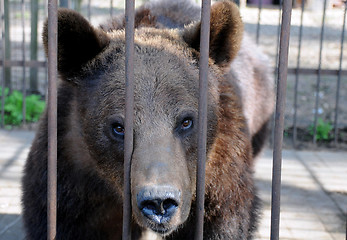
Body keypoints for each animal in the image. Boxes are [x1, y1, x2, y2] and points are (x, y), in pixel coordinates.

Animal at [21, 0, 274, 239]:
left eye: (186, 121)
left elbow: (223, 222)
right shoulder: (70, 170)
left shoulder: (219, 170)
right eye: (118, 127)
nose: (159, 203)